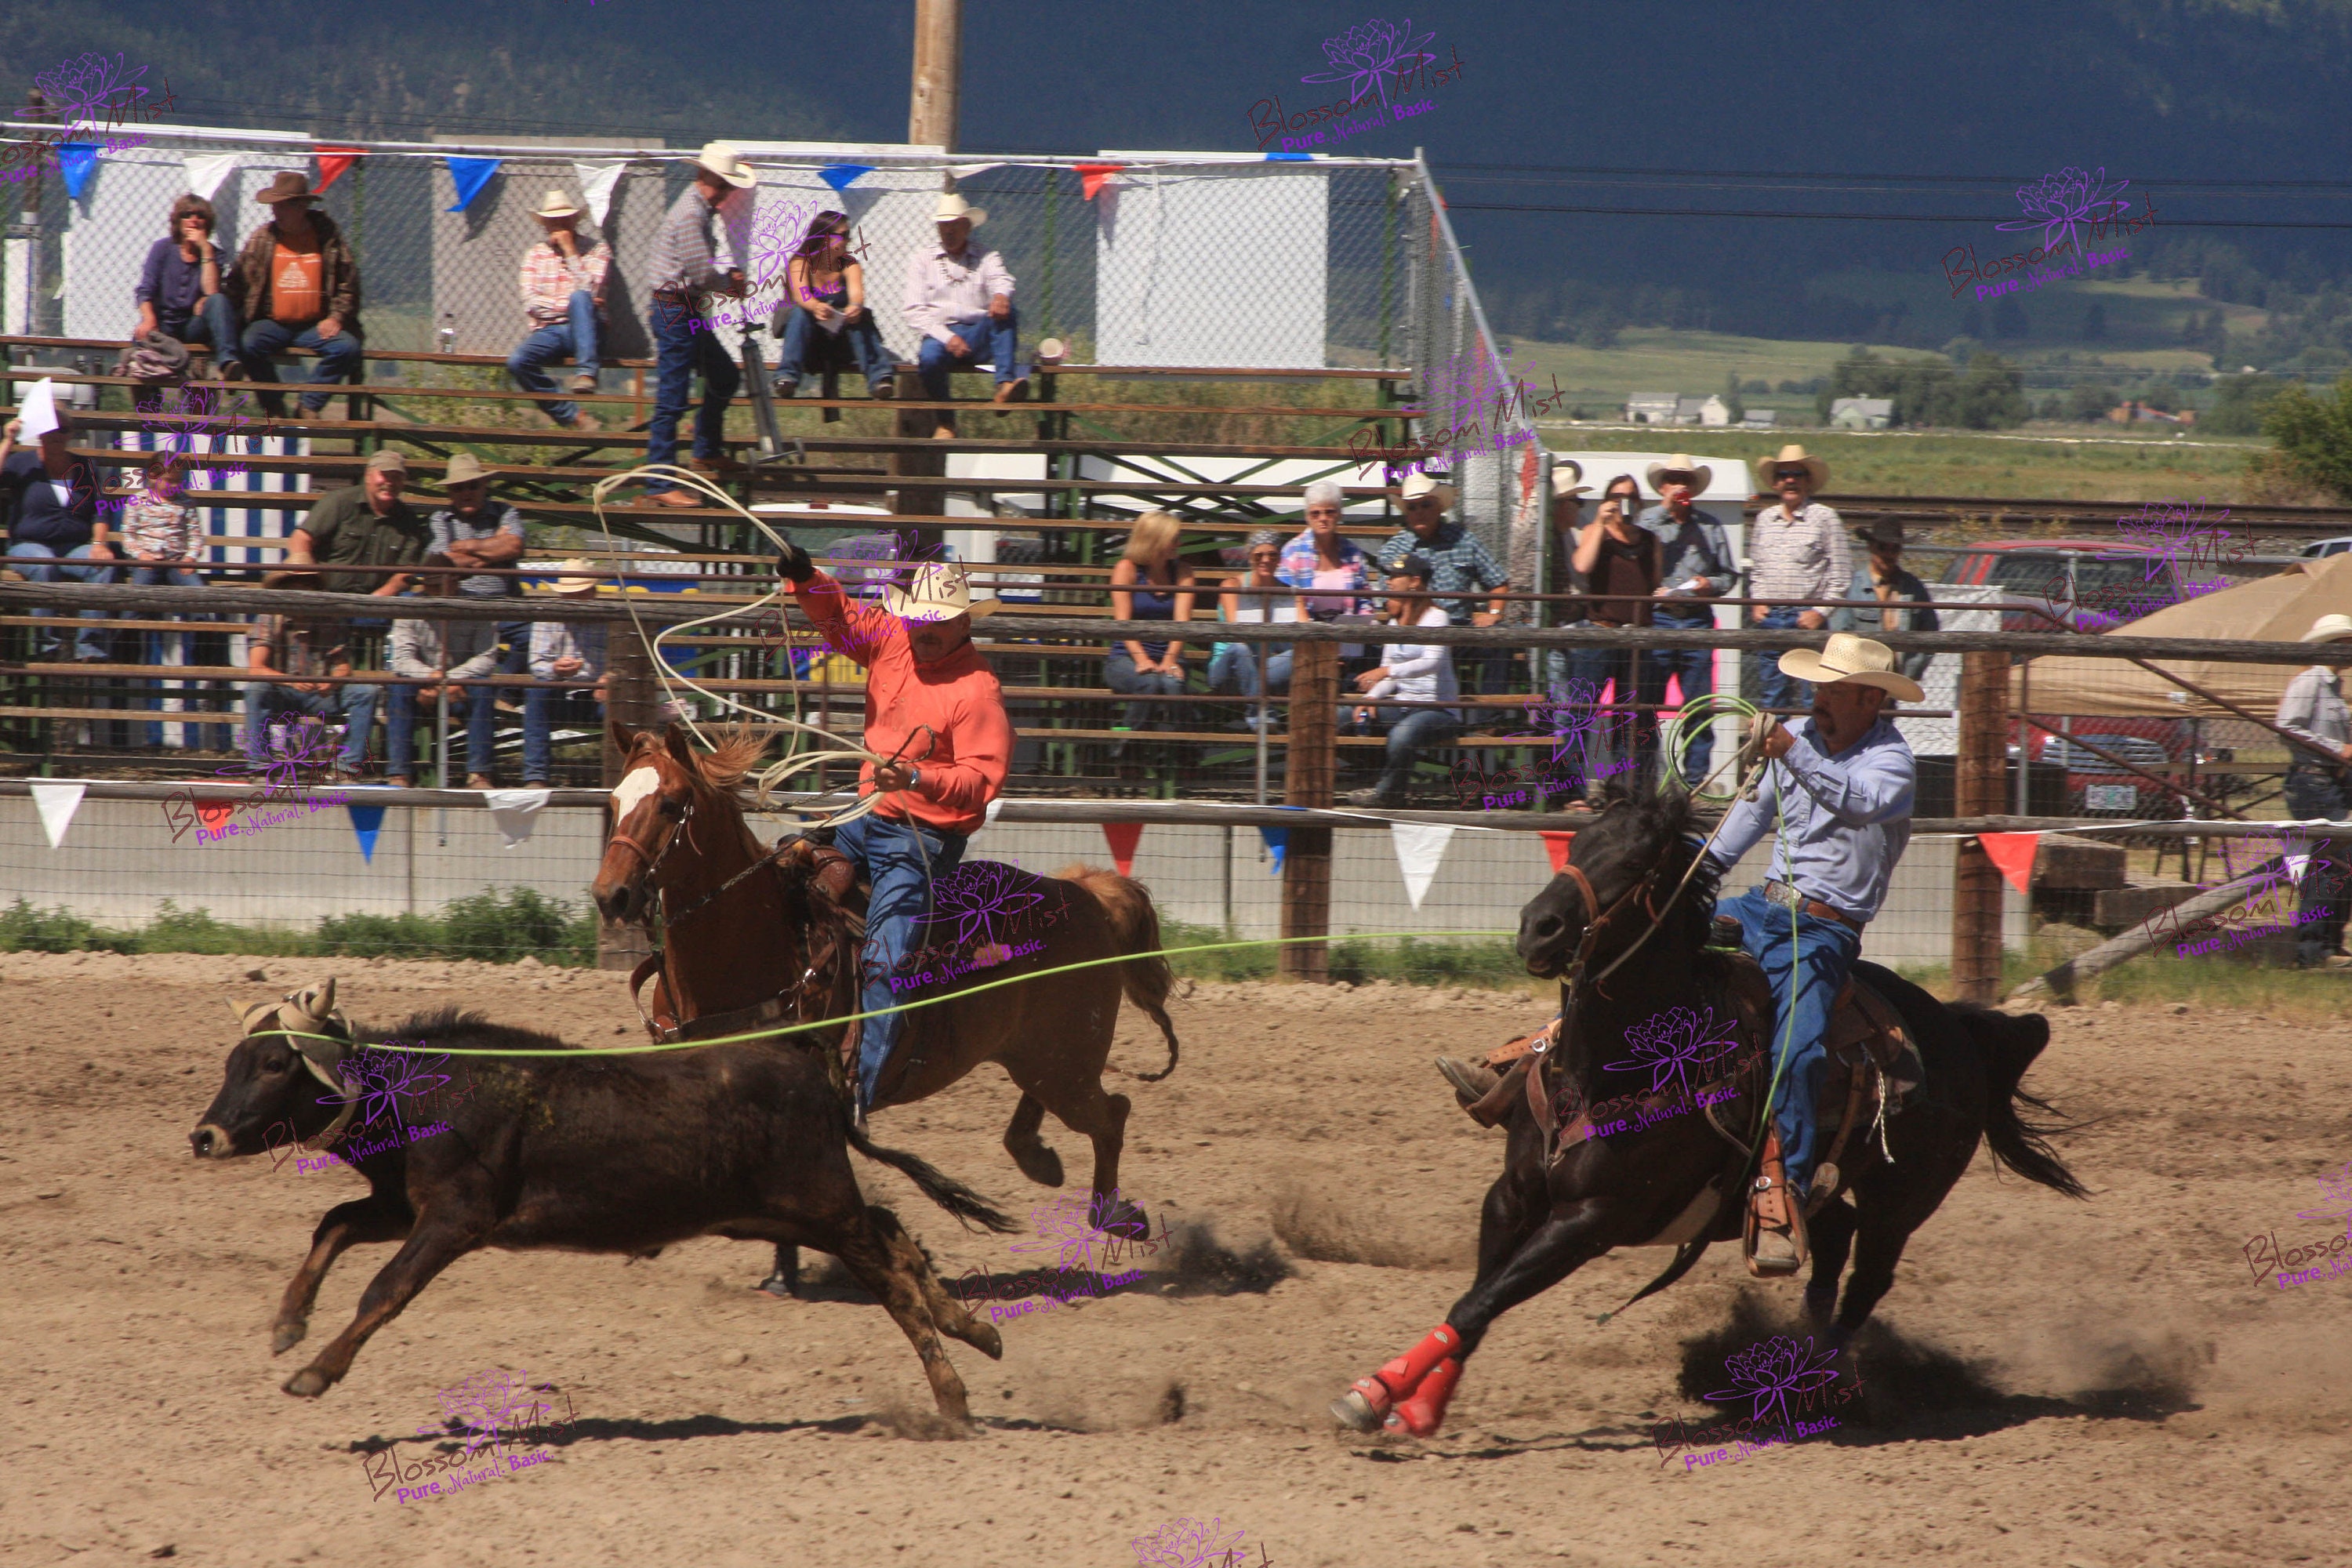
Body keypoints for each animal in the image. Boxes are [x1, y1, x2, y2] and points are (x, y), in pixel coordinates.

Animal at [188, 973, 1016, 1420]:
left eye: (273, 1064)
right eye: (232, 1061)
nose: (205, 1136)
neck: (421, 1093)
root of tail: (803, 1055)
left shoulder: (455, 1218)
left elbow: (384, 1290)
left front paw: (314, 1370)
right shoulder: (402, 1206)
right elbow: (333, 1224)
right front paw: (288, 1325)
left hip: (816, 1201)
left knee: (888, 1271)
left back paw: (953, 1395)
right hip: (780, 1211)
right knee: (894, 1231)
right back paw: (974, 1329)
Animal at [588, 724, 1176, 1288]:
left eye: (670, 804)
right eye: (614, 801)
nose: (610, 895)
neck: (753, 942)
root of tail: (1085, 894)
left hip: (1065, 1065)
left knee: (1113, 1115)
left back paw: (1117, 1216)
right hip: (1044, 1060)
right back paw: (1040, 1158)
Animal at [1336, 789, 2089, 1439]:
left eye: (1634, 865)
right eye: (1577, 843)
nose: (1537, 929)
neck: (1617, 1066)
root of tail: (1958, 1030)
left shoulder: (1592, 1219)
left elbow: (1480, 1300)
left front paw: (1378, 1396)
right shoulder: (1513, 1193)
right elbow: (1478, 1298)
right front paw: (1411, 1402)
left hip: (1902, 1201)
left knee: (1866, 1278)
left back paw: (1822, 1386)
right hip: (1825, 1190)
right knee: (1830, 1244)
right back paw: (1803, 1359)